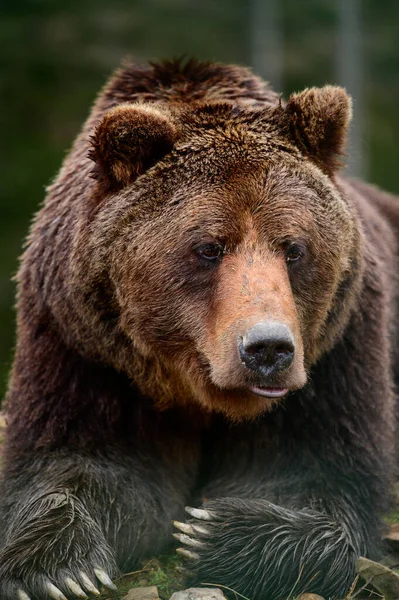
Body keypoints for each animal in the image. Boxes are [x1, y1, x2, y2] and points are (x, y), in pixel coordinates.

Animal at [0, 59, 399, 600]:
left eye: (293, 247)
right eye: (208, 247)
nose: (267, 348)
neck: (197, 390)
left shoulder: (338, 345)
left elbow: (319, 476)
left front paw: (215, 533)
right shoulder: (83, 347)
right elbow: (81, 462)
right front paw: (56, 568)